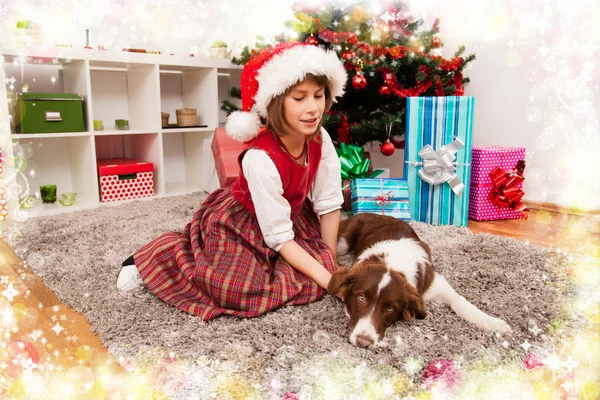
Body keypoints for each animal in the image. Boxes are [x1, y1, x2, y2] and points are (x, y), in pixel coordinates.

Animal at [328, 212, 510, 346]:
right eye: (361, 298)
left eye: (390, 308)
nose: (363, 342)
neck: (391, 263)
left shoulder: (434, 283)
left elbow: (460, 301)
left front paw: (495, 323)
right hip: (343, 241)